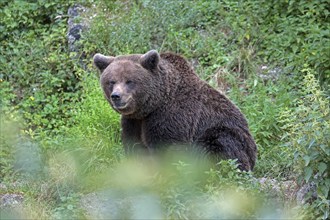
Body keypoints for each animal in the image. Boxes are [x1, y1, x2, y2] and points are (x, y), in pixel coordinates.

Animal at [93, 50, 258, 172]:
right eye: (111, 81)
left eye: (129, 81)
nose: (116, 96)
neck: (152, 106)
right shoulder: (133, 121)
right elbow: (134, 145)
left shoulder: (171, 117)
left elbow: (166, 149)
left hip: (227, 135)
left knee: (220, 147)